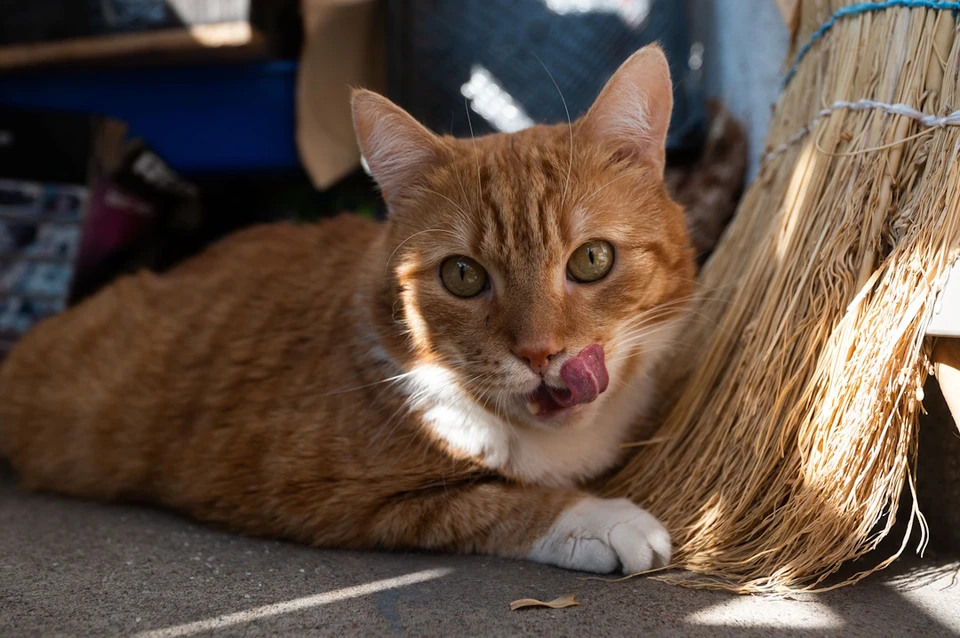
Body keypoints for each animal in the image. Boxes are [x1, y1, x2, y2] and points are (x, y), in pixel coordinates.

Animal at [0, 45, 688, 576]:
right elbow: (495, 499)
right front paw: (599, 518)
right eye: (463, 276)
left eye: (592, 259)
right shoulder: (325, 499)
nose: (541, 354)